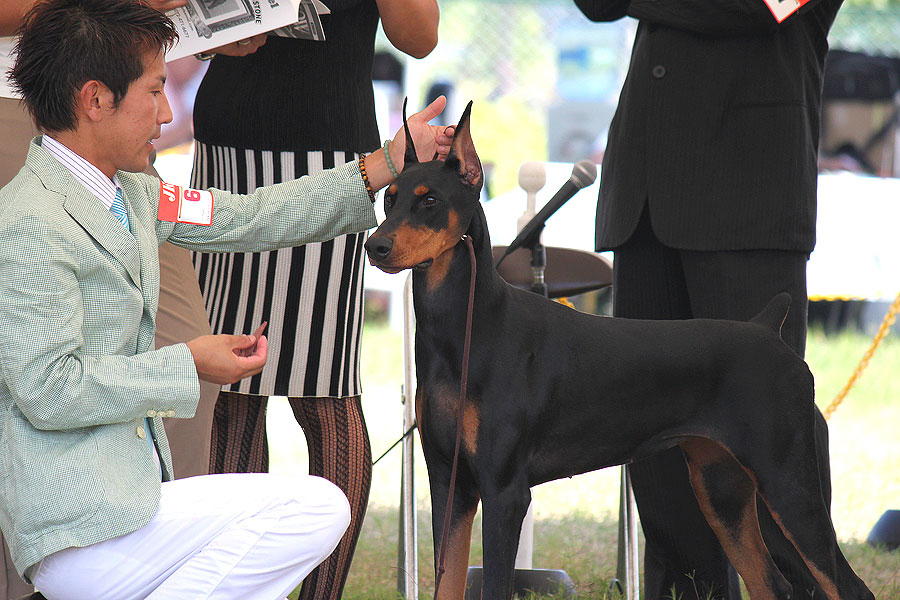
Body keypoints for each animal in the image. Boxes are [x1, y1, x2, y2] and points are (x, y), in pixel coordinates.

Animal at [364, 103, 872, 600]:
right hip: (721, 488)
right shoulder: (449, 483)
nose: (375, 245)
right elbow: (447, 578)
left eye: (430, 200)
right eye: (388, 198)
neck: (466, 326)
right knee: (772, 583)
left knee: (848, 586)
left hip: (787, 483)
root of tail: (768, 327)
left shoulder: (504, 490)